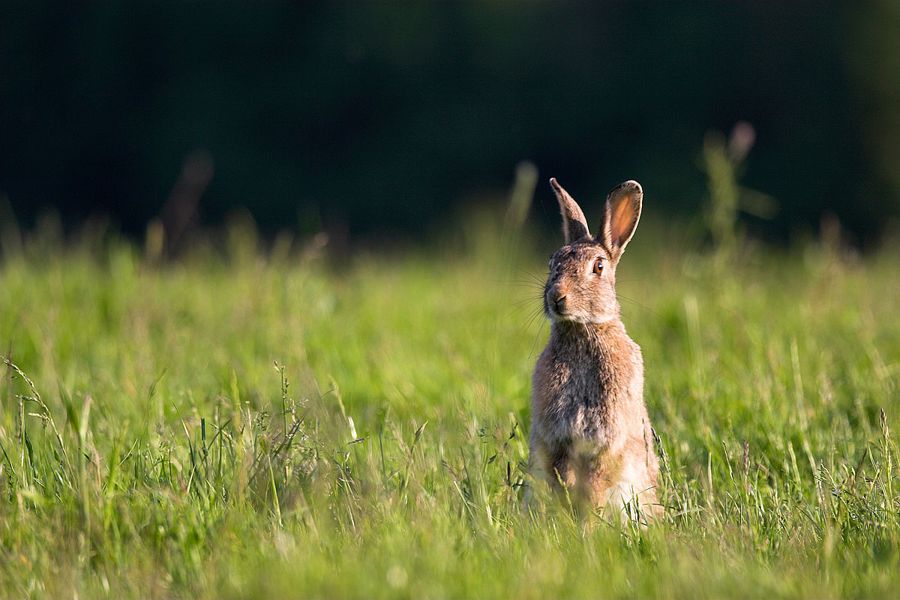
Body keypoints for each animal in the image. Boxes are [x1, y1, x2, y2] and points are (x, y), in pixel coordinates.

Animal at [529, 177, 661, 520]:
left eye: (598, 267)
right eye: (552, 263)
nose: (557, 297)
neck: (583, 330)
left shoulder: (608, 439)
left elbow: (596, 483)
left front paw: (587, 520)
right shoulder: (556, 439)